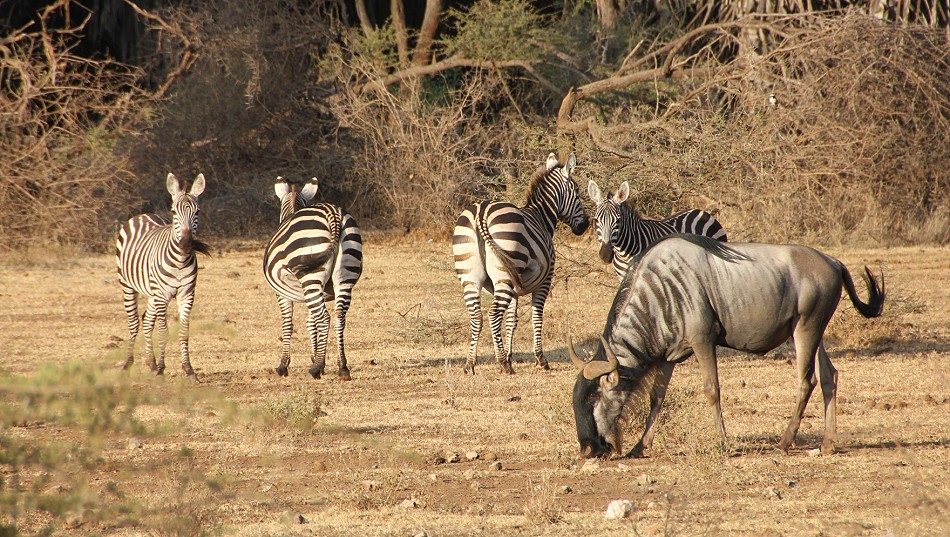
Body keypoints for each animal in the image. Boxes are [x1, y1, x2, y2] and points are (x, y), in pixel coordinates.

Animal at [116, 172, 208, 376]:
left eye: (197, 212)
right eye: (173, 212)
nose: (186, 245)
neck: (180, 262)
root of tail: (143, 215)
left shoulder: (187, 294)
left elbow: (184, 331)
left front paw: (188, 369)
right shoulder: (163, 295)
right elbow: (163, 331)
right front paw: (161, 370)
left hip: (152, 292)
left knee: (147, 320)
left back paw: (150, 362)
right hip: (128, 285)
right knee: (134, 322)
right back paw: (128, 363)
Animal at [262, 177, 362, 382]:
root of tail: (333, 214)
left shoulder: (281, 294)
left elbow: (288, 323)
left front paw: (284, 365)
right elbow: (310, 322)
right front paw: (318, 359)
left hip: (310, 276)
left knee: (324, 317)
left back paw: (314, 370)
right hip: (344, 275)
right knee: (339, 317)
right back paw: (343, 367)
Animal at [452, 153, 588, 374]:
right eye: (576, 191)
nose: (584, 226)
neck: (541, 217)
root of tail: (481, 213)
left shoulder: (515, 288)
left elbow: (511, 321)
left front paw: (509, 355)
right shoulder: (545, 280)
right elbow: (536, 316)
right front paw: (540, 359)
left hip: (471, 276)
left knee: (476, 317)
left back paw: (470, 364)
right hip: (504, 275)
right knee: (493, 314)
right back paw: (502, 364)